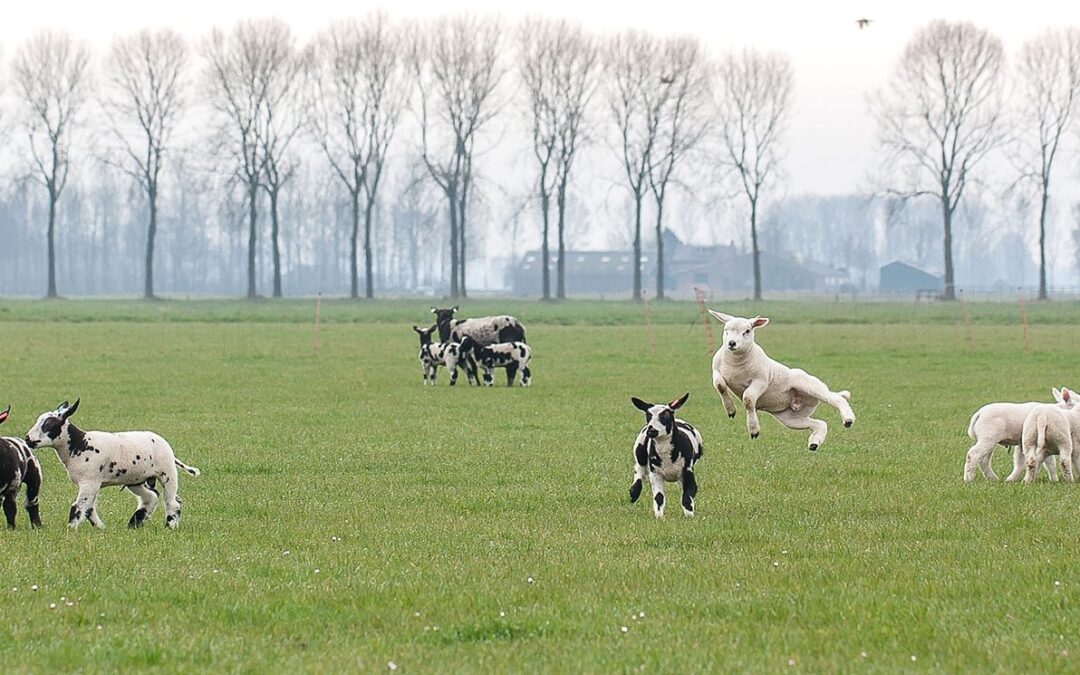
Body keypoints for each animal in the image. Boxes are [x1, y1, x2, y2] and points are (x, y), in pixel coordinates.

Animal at [0, 401, 43, 529]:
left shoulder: (13, 486)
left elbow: (10, 508)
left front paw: (11, 529)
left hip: (34, 479)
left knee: (32, 503)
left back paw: (37, 526)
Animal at [25, 397, 201, 529]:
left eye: (49, 424)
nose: (28, 439)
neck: (79, 444)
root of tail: (168, 448)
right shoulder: (93, 483)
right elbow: (89, 508)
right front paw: (100, 528)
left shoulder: (89, 481)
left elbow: (78, 506)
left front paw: (71, 528)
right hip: (136, 479)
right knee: (151, 497)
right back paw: (134, 524)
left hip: (167, 473)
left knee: (172, 502)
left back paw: (170, 526)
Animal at [708, 311, 851, 453]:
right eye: (726, 330)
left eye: (747, 331)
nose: (732, 343)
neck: (736, 363)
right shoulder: (716, 371)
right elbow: (720, 385)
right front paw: (731, 410)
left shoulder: (761, 380)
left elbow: (748, 399)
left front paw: (754, 429)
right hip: (790, 417)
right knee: (820, 424)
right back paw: (814, 444)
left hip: (810, 385)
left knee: (837, 399)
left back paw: (848, 419)